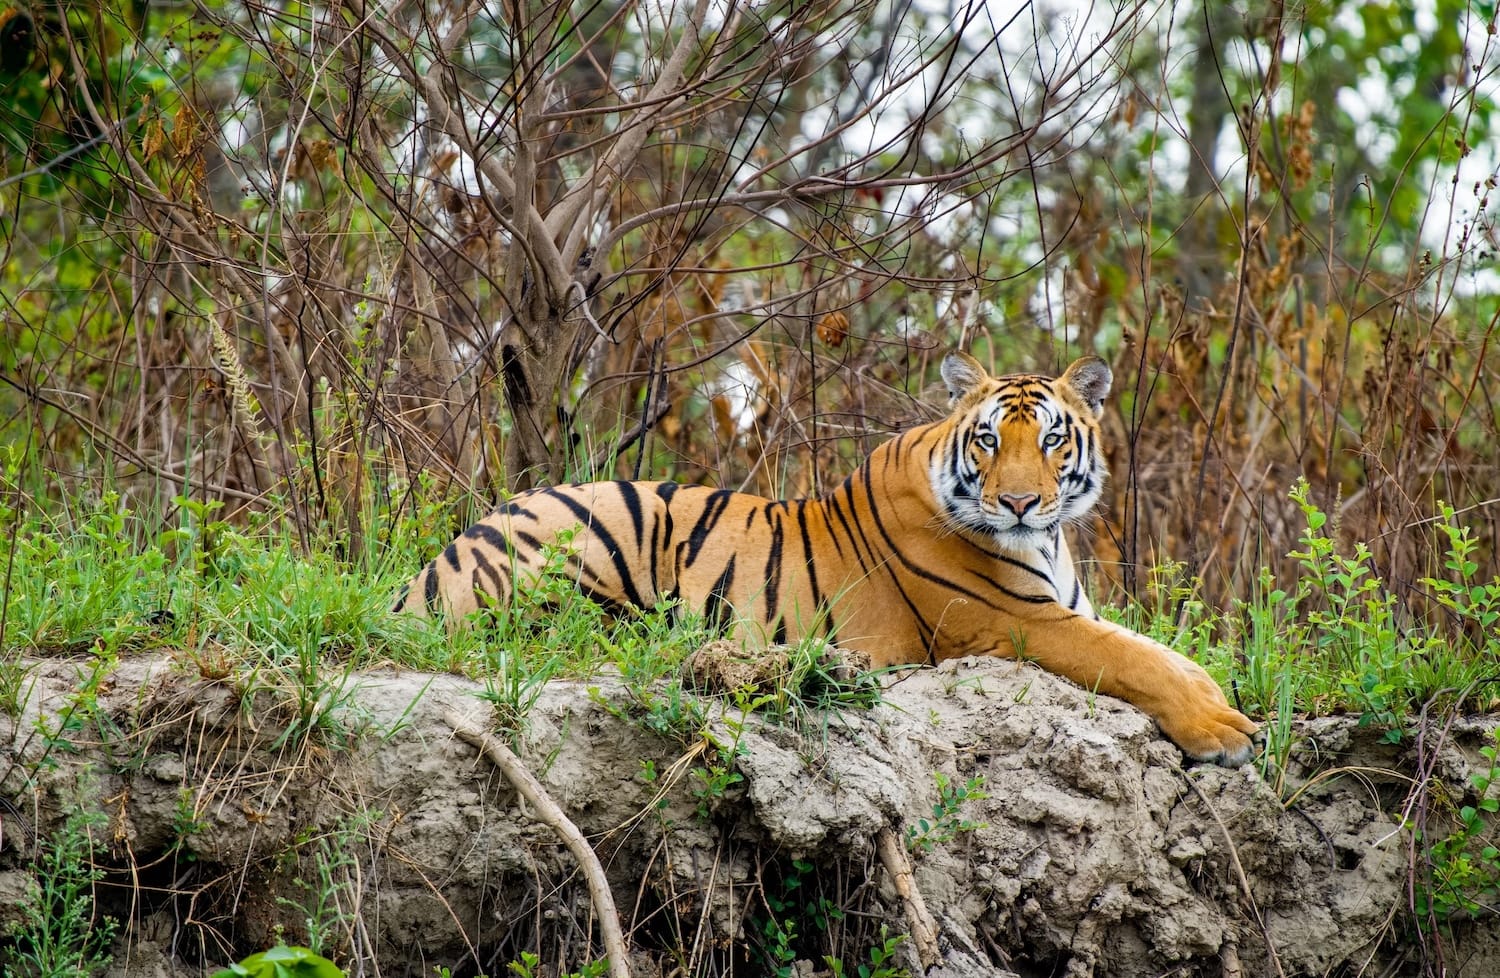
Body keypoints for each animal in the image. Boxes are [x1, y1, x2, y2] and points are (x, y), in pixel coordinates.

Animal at [395, 352, 1259, 765]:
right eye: (989, 439)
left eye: (1052, 440)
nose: (1017, 503)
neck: (1047, 540)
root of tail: (435, 567)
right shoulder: (1022, 622)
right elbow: (1139, 660)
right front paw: (1224, 732)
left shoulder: (1071, 608)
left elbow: (1170, 653)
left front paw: (1228, 707)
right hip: (609, 516)